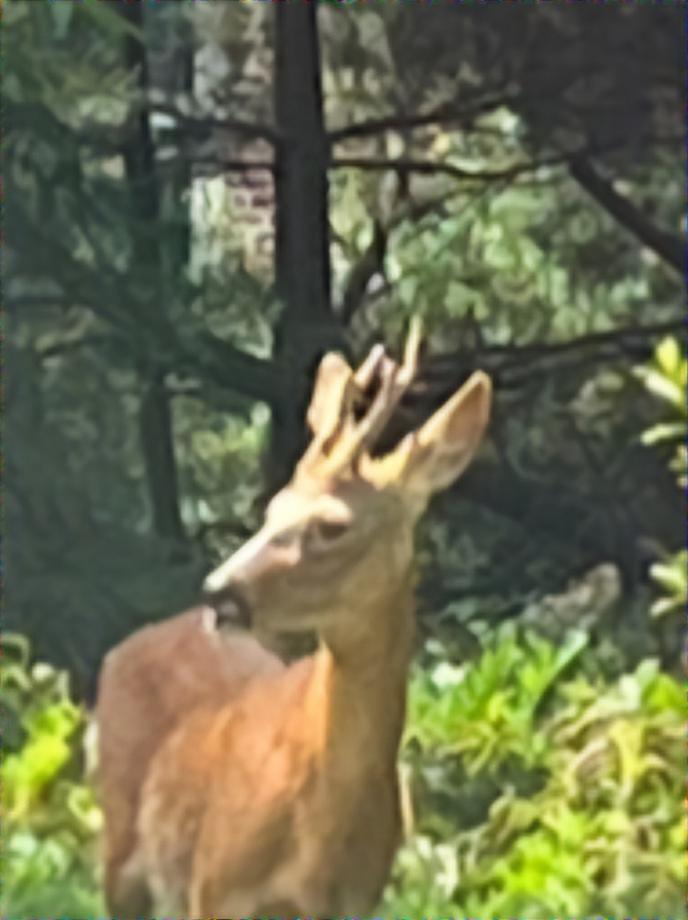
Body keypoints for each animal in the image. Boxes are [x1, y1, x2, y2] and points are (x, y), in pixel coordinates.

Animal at [95, 319, 492, 919]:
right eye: (273, 508)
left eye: (333, 525)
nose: (219, 592)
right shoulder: (215, 888)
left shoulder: (357, 902)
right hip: (120, 850)